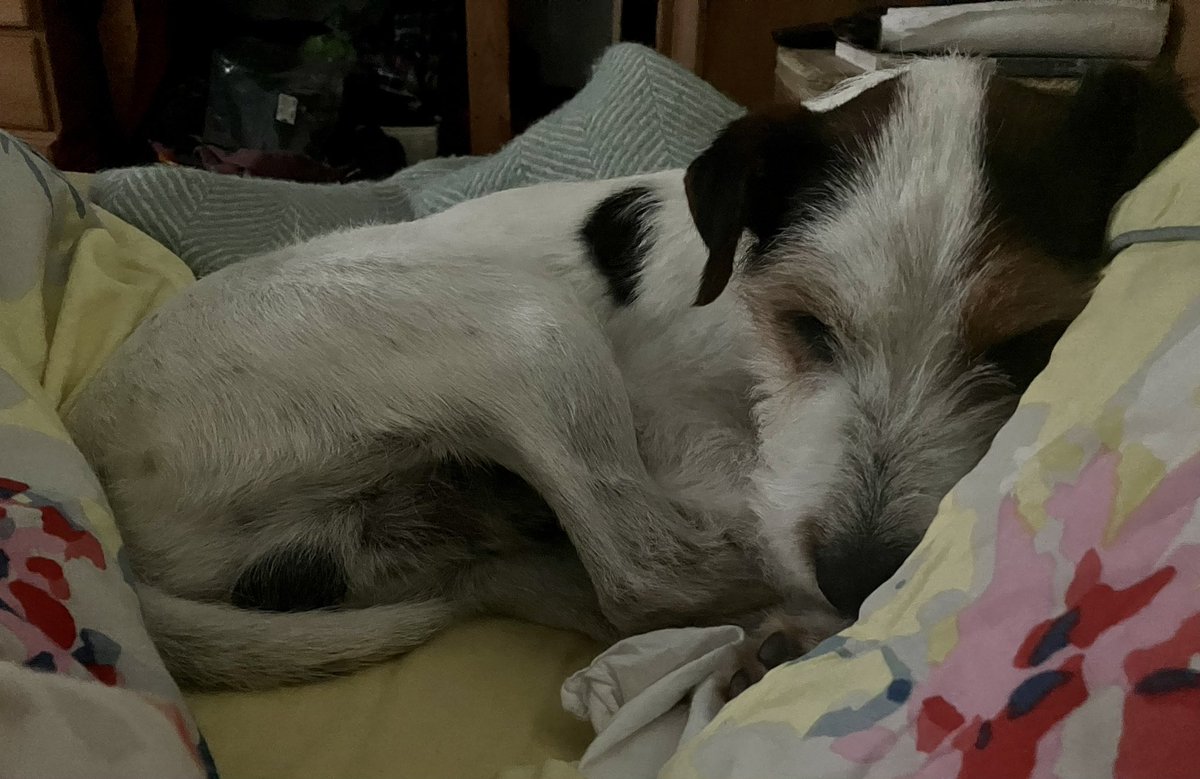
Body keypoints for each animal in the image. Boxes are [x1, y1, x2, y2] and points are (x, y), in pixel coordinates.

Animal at [65, 62, 1190, 691]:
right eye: (804, 323)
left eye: (1031, 347)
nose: (858, 576)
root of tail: (105, 466)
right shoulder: (681, 437)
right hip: (523, 326)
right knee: (642, 569)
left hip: (424, 549)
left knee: (590, 590)